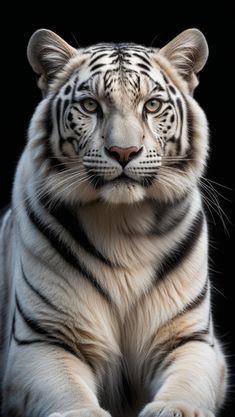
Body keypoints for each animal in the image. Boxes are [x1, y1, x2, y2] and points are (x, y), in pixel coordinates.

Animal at [0, 28, 228, 416]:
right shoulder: (41, 340)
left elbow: (188, 382)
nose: (124, 152)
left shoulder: (190, 337)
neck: (124, 222)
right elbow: (66, 389)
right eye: (91, 106)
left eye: (152, 106)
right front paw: (83, 412)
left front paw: (174, 408)